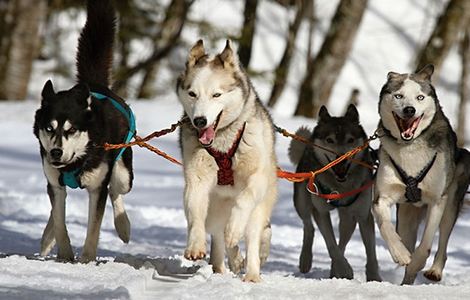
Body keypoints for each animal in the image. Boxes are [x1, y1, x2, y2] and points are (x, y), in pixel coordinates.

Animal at [33, 0, 133, 262]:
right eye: (49, 128)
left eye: (72, 130)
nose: (56, 152)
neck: (76, 161)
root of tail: (95, 85)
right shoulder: (55, 183)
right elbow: (59, 220)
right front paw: (65, 254)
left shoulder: (97, 188)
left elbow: (94, 228)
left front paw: (87, 259)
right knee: (55, 208)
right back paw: (47, 239)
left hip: (123, 174)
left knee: (116, 191)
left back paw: (124, 227)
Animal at [177, 39, 280, 282]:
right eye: (192, 93)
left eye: (216, 95)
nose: (200, 121)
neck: (223, 142)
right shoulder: (196, 179)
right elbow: (195, 213)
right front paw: (195, 245)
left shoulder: (257, 179)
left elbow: (244, 201)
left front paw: (234, 229)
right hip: (215, 210)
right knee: (218, 237)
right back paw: (224, 265)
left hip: (259, 208)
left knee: (252, 236)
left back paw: (251, 274)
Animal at [290, 105, 382, 282]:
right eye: (330, 140)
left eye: (350, 140)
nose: (341, 158)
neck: (340, 187)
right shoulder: (321, 212)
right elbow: (331, 244)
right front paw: (344, 269)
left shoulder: (363, 215)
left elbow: (371, 252)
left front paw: (374, 278)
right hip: (302, 202)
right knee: (309, 227)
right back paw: (306, 260)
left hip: (348, 218)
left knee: (343, 240)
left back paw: (334, 271)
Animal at [374, 64, 470, 284]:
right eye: (399, 96)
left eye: (419, 97)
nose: (409, 110)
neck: (410, 147)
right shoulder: (382, 198)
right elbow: (386, 227)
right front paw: (400, 254)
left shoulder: (437, 200)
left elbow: (426, 244)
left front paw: (417, 262)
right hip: (406, 216)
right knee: (406, 236)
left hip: (451, 202)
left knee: (443, 241)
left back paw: (434, 270)